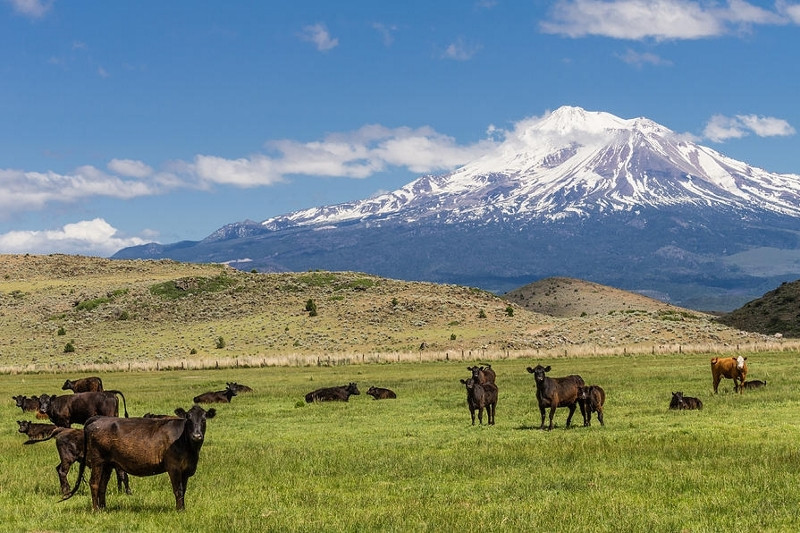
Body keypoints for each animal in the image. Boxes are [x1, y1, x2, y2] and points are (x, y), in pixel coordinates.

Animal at [64, 406, 216, 510]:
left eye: (203, 420)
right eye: (188, 419)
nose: (196, 435)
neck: (189, 448)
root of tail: (99, 418)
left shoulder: (185, 470)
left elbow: (183, 490)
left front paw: (183, 509)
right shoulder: (174, 468)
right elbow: (178, 490)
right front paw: (179, 511)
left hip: (108, 464)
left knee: (102, 485)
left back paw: (103, 509)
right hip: (97, 461)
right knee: (94, 483)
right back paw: (96, 510)